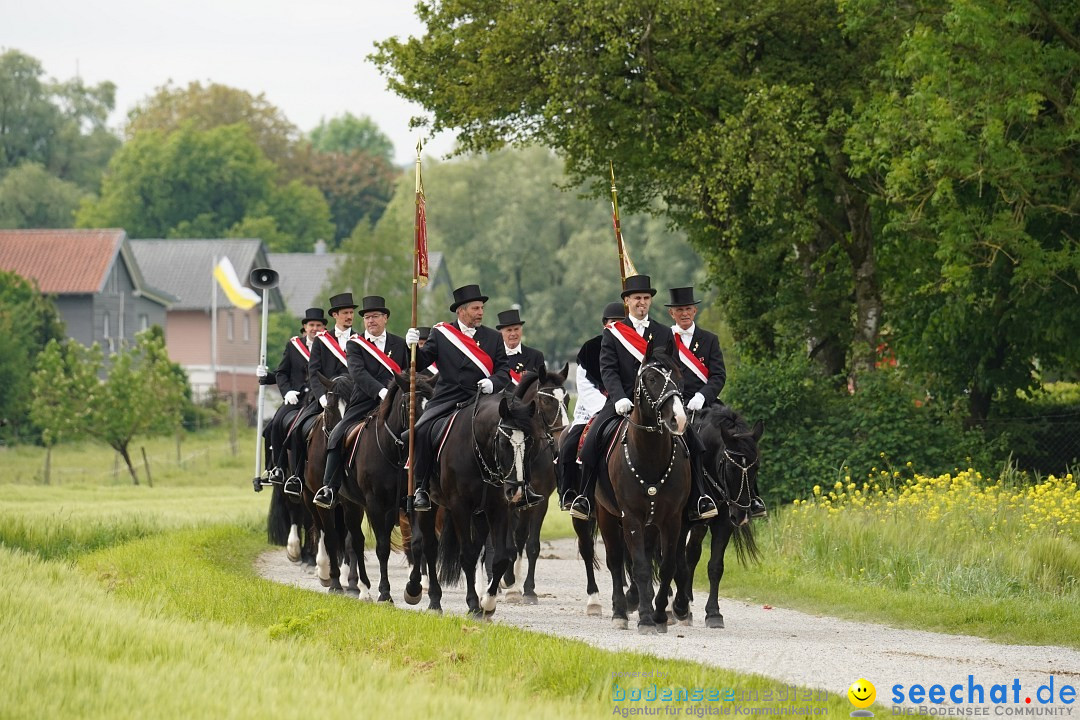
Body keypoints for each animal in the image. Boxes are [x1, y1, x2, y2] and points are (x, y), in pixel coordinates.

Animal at [401, 390, 544, 617]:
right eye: (504, 443)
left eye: (530, 444)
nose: (517, 490)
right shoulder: (460, 507)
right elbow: (467, 555)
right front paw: (474, 604)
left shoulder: (498, 508)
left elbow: (500, 557)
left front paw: (488, 602)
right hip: (429, 505)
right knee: (427, 545)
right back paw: (426, 595)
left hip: (479, 515)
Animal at [591, 345, 691, 634]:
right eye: (652, 379)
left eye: (679, 377)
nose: (678, 419)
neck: (650, 456)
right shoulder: (632, 517)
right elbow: (641, 568)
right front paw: (646, 619)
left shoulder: (671, 520)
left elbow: (666, 567)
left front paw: (658, 615)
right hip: (606, 514)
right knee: (615, 561)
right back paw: (620, 612)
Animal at [678, 405, 764, 630]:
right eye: (731, 467)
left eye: (756, 467)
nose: (742, 515)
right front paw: (678, 608)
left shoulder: (724, 523)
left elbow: (715, 566)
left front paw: (713, 613)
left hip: (700, 525)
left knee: (692, 553)